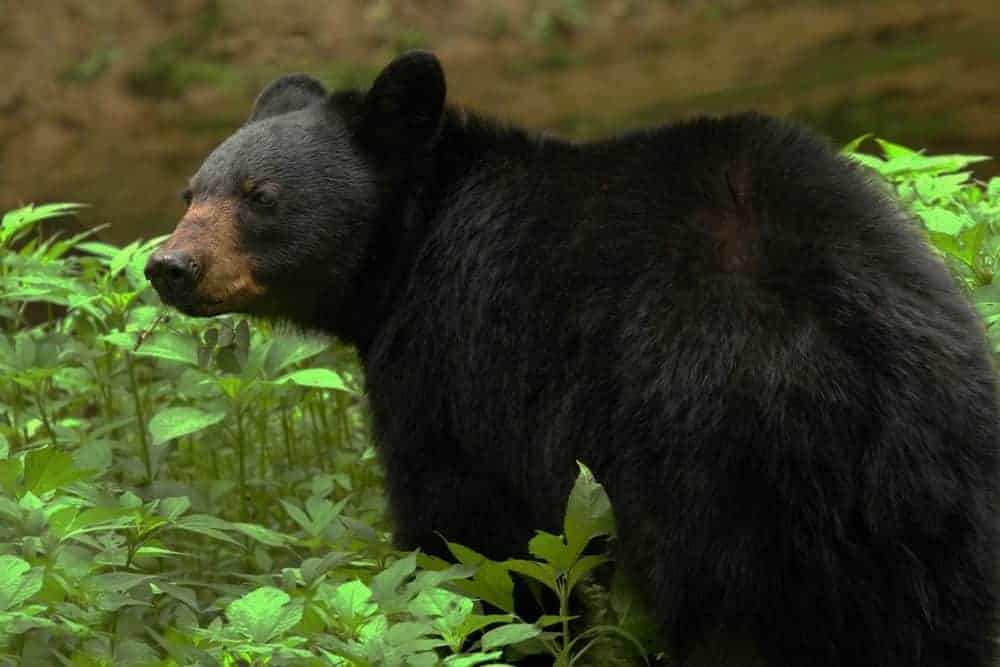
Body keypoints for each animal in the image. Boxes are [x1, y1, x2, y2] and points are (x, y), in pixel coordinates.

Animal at [148, 53, 1000, 667]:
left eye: (261, 194)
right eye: (191, 191)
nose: (168, 266)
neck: (410, 247)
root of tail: (859, 354)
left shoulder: (450, 361)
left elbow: (475, 548)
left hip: (710, 457)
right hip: (942, 484)